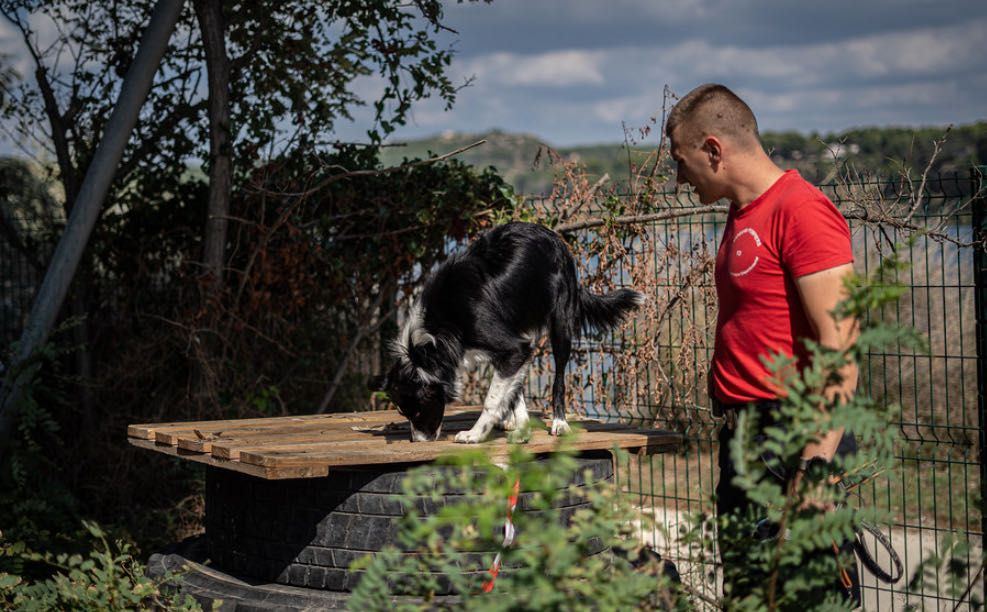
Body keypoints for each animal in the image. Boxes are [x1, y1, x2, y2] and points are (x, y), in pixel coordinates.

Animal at [368, 222, 640, 442]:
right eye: (403, 412)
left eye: (416, 409)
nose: (417, 440)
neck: (439, 328)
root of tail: (553, 236)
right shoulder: (511, 348)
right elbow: (511, 388)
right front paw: (520, 427)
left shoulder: (512, 347)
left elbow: (491, 399)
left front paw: (475, 435)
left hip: (560, 324)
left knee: (559, 379)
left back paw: (559, 423)